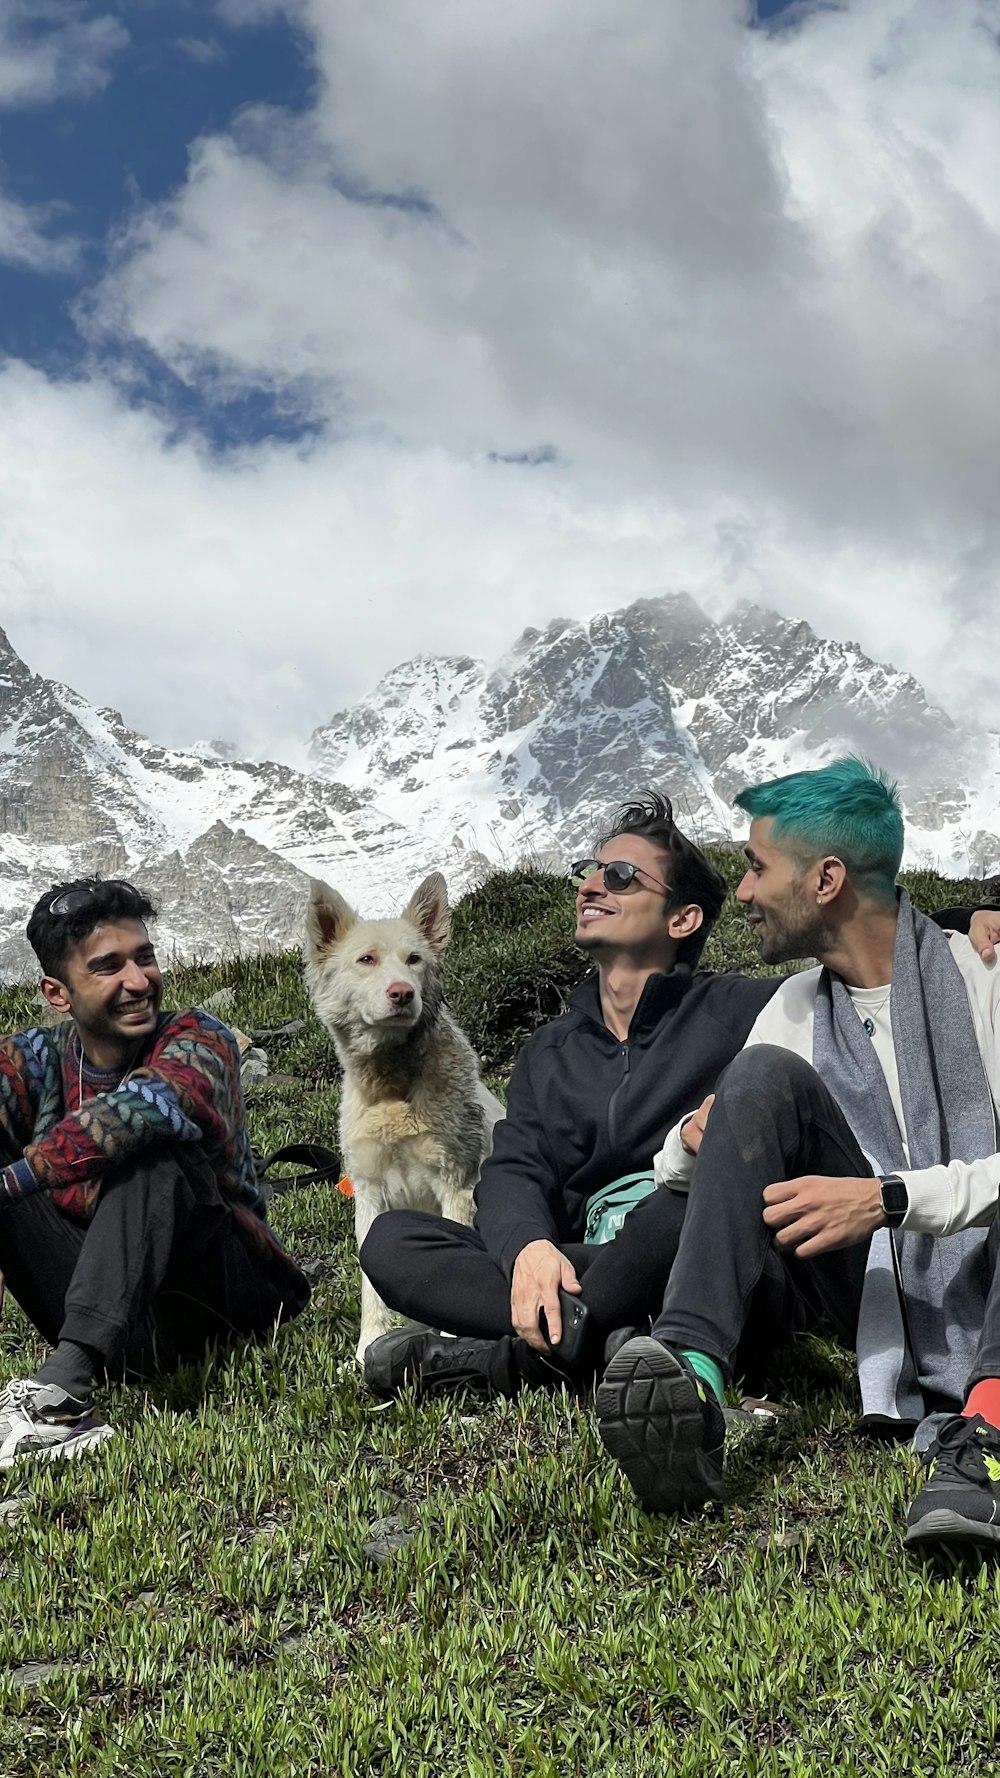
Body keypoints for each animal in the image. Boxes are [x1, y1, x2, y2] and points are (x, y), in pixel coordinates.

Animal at [304, 874, 501, 1358]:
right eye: (366, 959)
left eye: (414, 960)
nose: (402, 993)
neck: (392, 1089)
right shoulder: (369, 1192)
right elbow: (371, 1285)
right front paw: (369, 1345)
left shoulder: (458, 1182)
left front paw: (453, 1340)